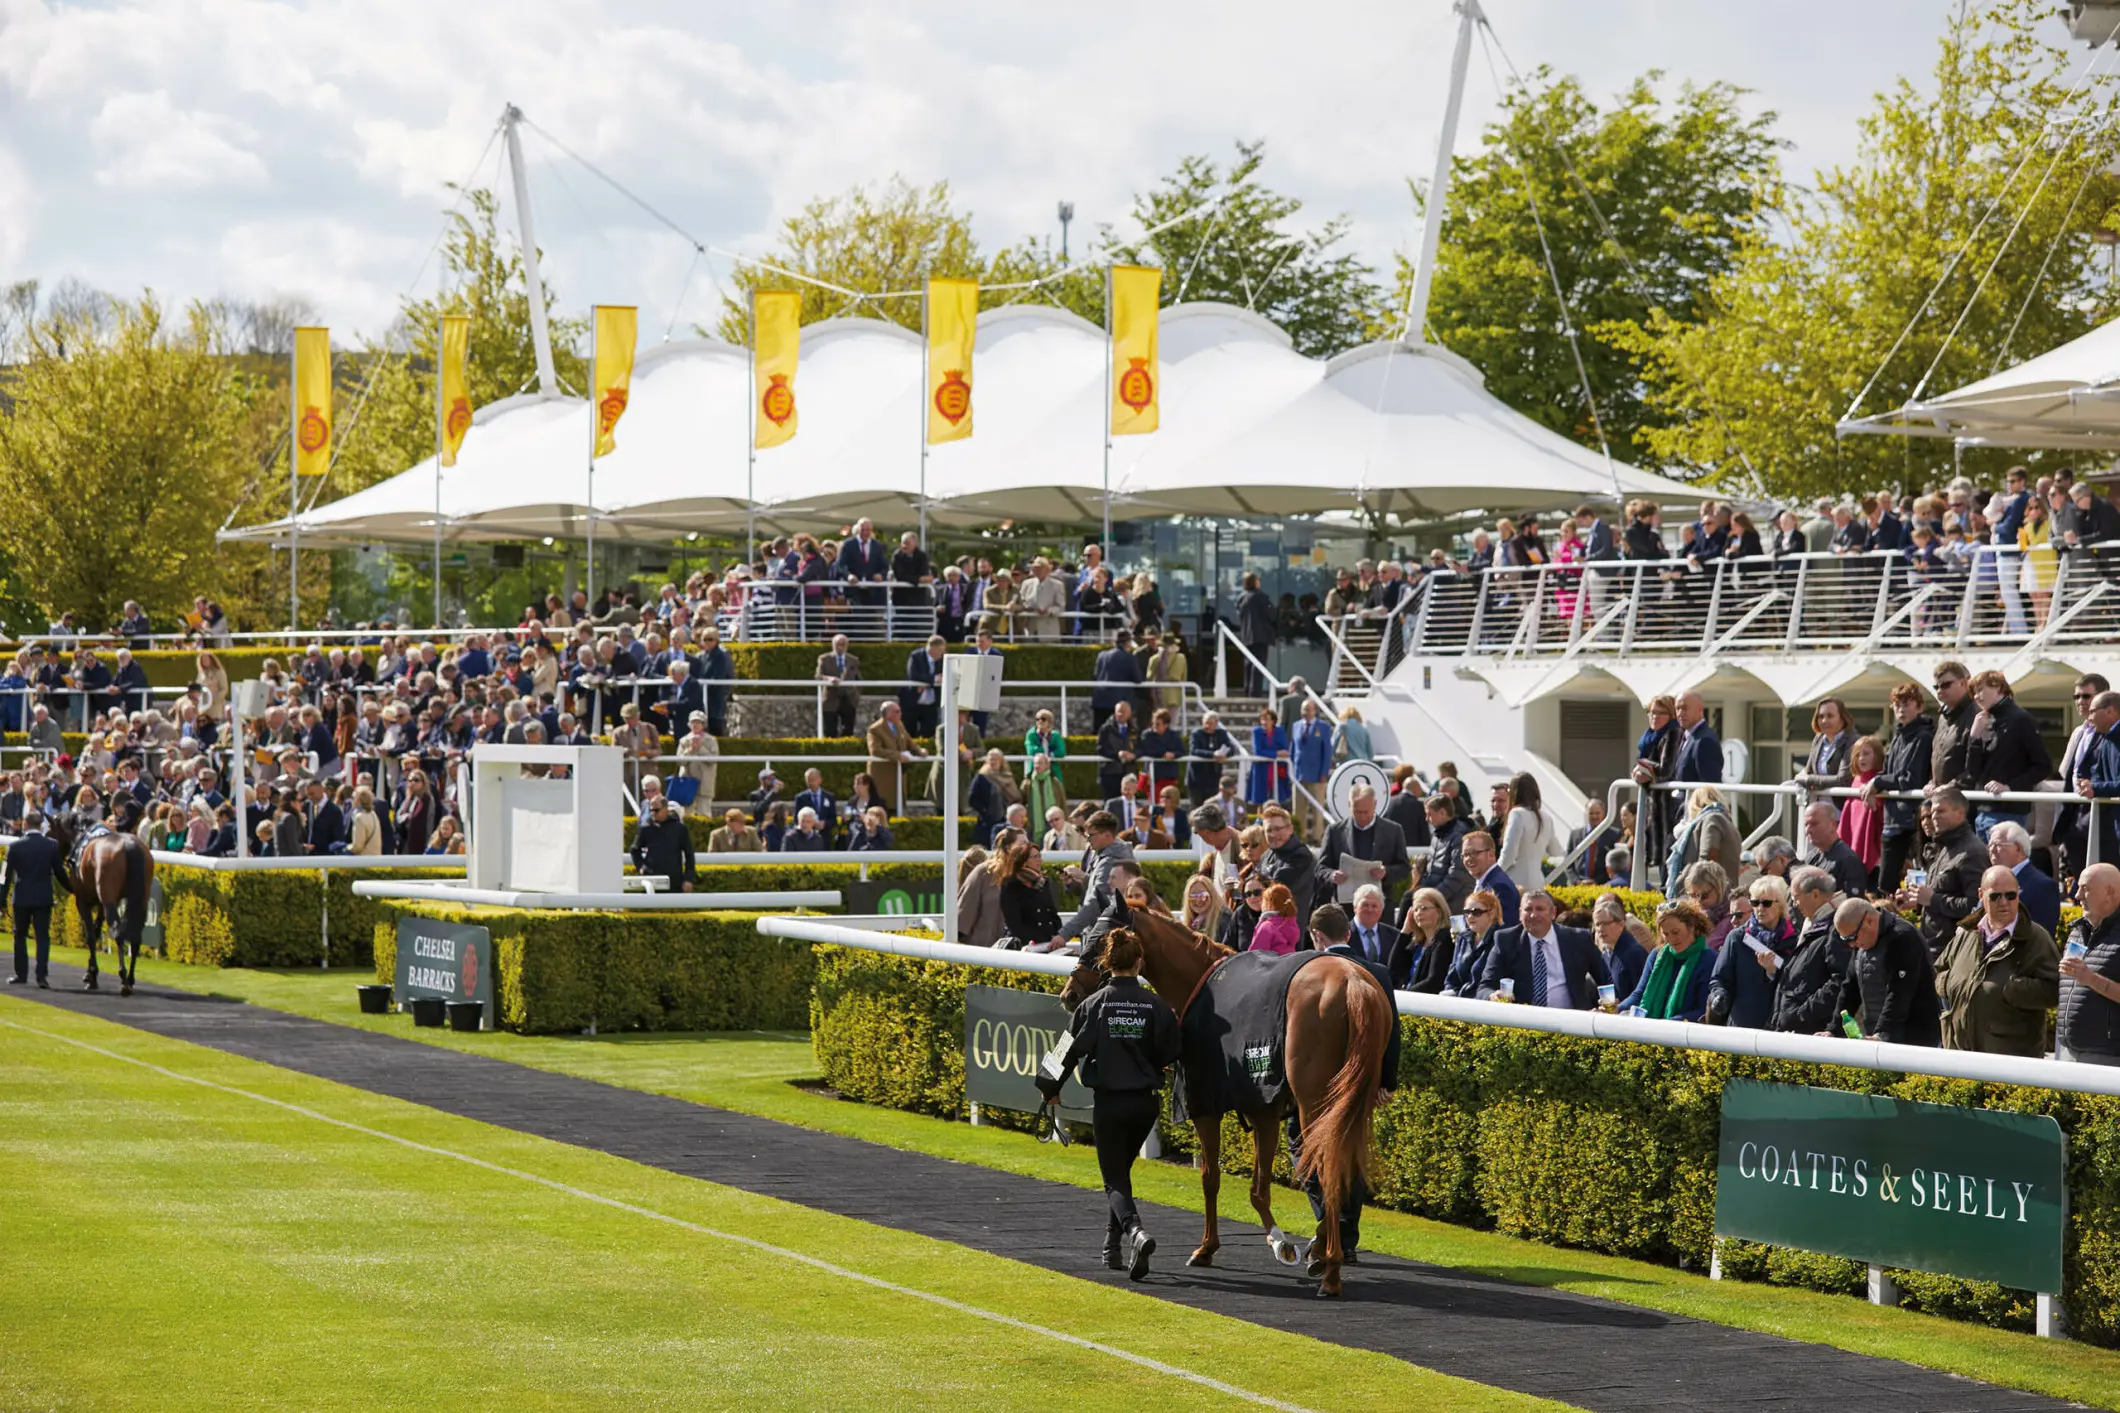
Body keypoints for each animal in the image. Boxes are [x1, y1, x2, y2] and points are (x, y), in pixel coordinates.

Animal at [47, 813, 153, 999]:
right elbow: (96, 933)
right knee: (136, 936)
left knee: (117, 932)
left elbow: (90, 935)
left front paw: (92, 977)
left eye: (50, 831)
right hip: (140, 900)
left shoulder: (84, 900)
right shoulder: (104, 903)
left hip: (109, 898)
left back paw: (123, 979)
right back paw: (131, 979)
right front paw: (90, 973)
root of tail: (130, 846)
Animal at [1055, 910, 1390, 1296]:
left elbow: (1211, 1177)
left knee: (1328, 1169)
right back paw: (1326, 1254)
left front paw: (1212, 1248)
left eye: (1098, 943)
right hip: (1350, 1103)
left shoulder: (1207, 1105)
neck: (1201, 980)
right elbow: (1259, 1185)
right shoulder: (1264, 1109)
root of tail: (1352, 985)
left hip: (1316, 1105)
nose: (1069, 994)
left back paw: (1332, 1272)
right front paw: (1293, 1245)